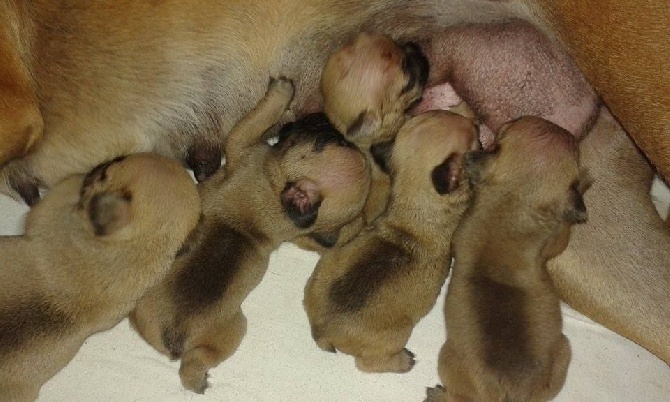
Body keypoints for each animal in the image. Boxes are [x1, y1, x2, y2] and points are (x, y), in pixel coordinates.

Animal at [130, 77, 372, 392]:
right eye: (334, 141)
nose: (321, 116)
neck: (275, 191)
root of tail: (173, 338)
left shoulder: (242, 145)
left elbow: (256, 119)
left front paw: (281, 94)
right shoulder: (304, 233)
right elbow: (329, 237)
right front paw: (360, 224)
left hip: (233, 330)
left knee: (193, 363)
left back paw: (196, 379)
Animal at [302, 110, 480, 374]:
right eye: (475, 141)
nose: (476, 121)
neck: (412, 206)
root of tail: (323, 331)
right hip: (395, 336)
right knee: (369, 364)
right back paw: (402, 361)